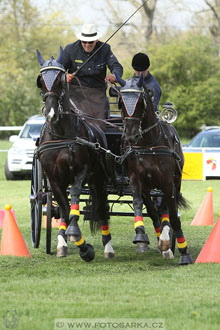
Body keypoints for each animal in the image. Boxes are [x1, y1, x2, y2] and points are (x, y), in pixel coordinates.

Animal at [35, 46, 115, 262]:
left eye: (61, 79)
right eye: (40, 80)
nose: (51, 113)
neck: (61, 134)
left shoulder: (82, 172)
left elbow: (75, 201)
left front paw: (77, 237)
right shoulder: (54, 179)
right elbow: (64, 209)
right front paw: (72, 242)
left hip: (99, 179)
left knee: (102, 209)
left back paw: (108, 246)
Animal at [116, 74, 193, 266]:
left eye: (141, 102)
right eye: (121, 102)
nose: (130, 134)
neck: (148, 145)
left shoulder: (167, 182)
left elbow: (172, 215)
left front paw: (184, 252)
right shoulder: (136, 179)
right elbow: (139, 204)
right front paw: (140, 234)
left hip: (174, 182)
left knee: (166, 209)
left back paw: (166, 240)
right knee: (153, 210)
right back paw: (160, 240)